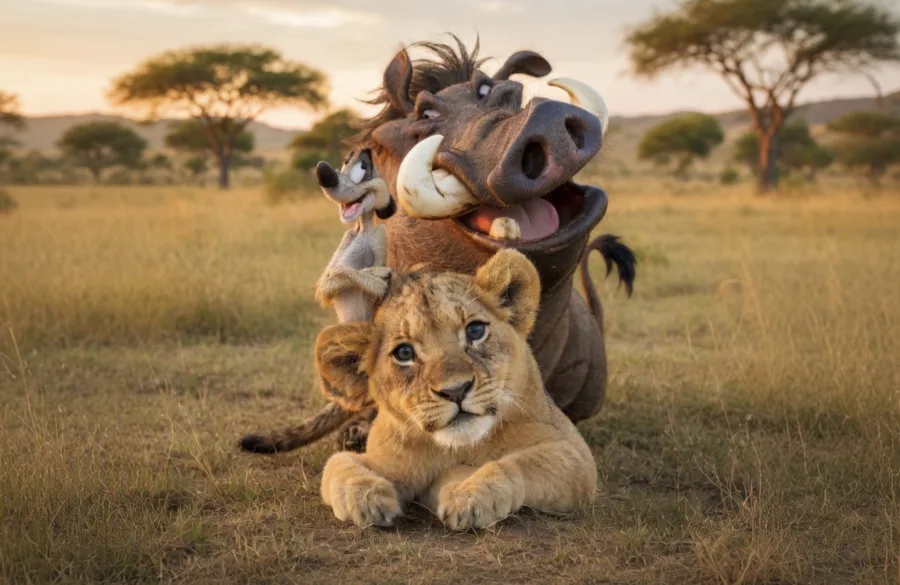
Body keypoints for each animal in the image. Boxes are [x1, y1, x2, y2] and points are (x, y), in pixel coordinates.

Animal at [315, 249, 598, 530]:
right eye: (404, 353)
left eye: (475, 330)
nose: (456, 391)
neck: (455, 447)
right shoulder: (387, 460)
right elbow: (337, 463)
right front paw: (367, 498)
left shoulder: (575, 455)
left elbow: (516, 463)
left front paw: (471, 495)